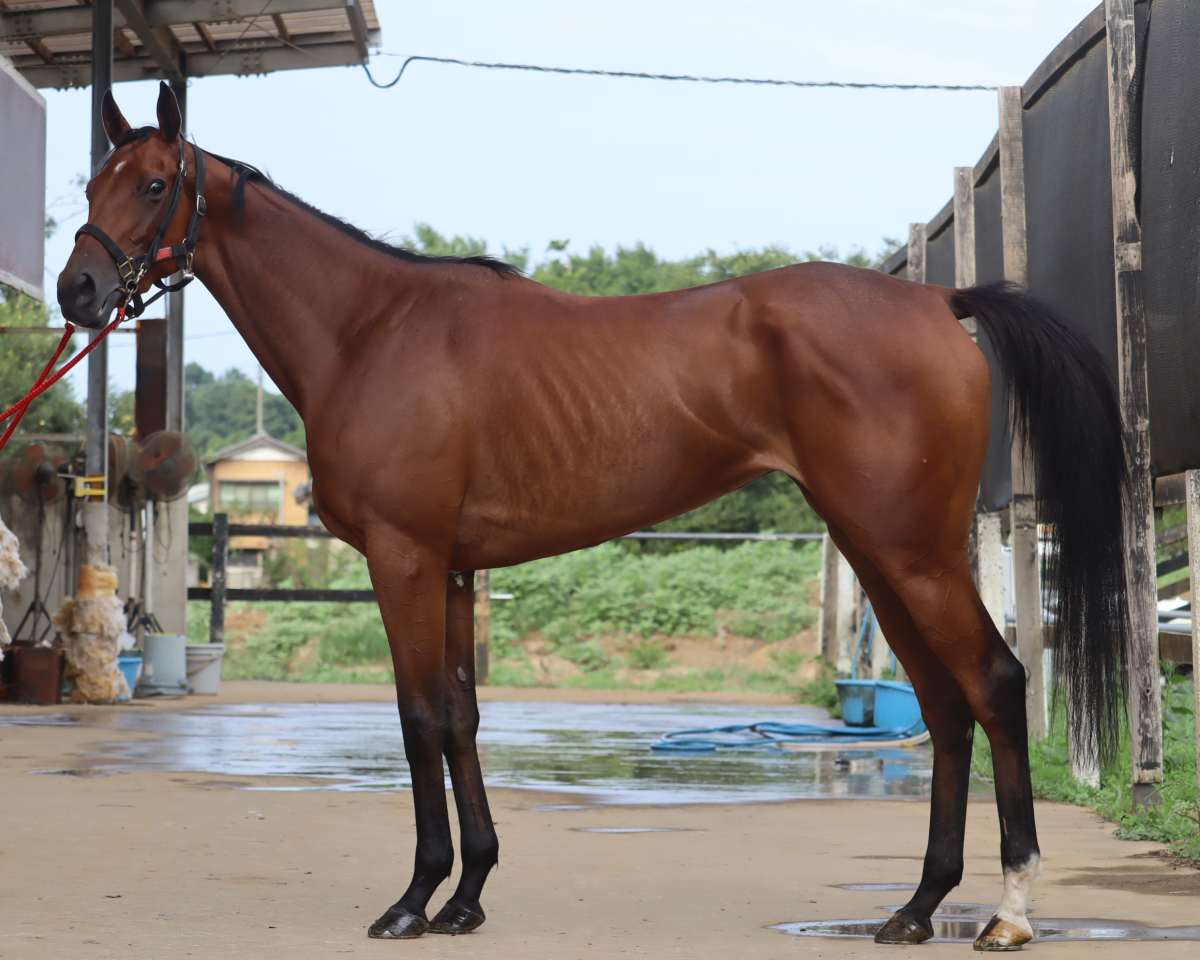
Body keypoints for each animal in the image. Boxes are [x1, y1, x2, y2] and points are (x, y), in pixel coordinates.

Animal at [57, 83, 1129, 952]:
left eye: (154, 184)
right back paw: (914, 908)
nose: (78, 289)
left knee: (995, 683)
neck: (371, 329)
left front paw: (412, 901)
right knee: (945, 707)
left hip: (913, 553)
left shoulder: (404, 560)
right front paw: (466, 897)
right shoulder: (453, 568)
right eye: (90, 184)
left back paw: (1009, 913)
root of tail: (942, 303)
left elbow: (416, 717)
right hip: (882, 553)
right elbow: (460, 716)